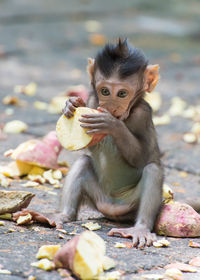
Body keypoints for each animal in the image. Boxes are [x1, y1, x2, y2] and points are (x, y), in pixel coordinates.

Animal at [58, 38, 163, 247]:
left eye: (122, 94)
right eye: (105, 91)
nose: (111, 107)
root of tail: (112, 208)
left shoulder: (143, 114)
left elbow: (144, 157)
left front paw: (112, 125)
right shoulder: (92, 100)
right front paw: (71, 104)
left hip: (130, 204)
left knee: (153, 170)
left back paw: (140, 228)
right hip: (98, 199)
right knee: (83, 162)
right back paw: (63, 216)